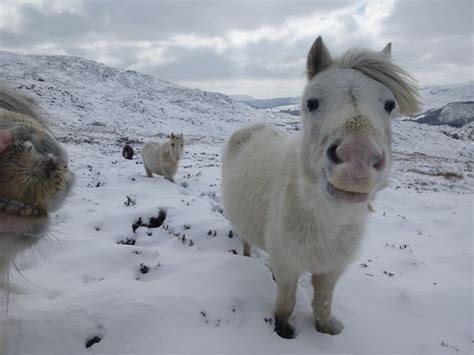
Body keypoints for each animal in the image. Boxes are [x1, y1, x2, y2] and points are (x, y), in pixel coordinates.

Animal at [221, 36, 418, 340]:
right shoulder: (288, 265)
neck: (325, 222)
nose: (357, 159)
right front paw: (283, 332)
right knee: (246, 242)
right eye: (311, 103)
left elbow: (322, 304)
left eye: (389, 104)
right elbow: (286, 304)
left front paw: (327, 332)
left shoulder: (331, 269)